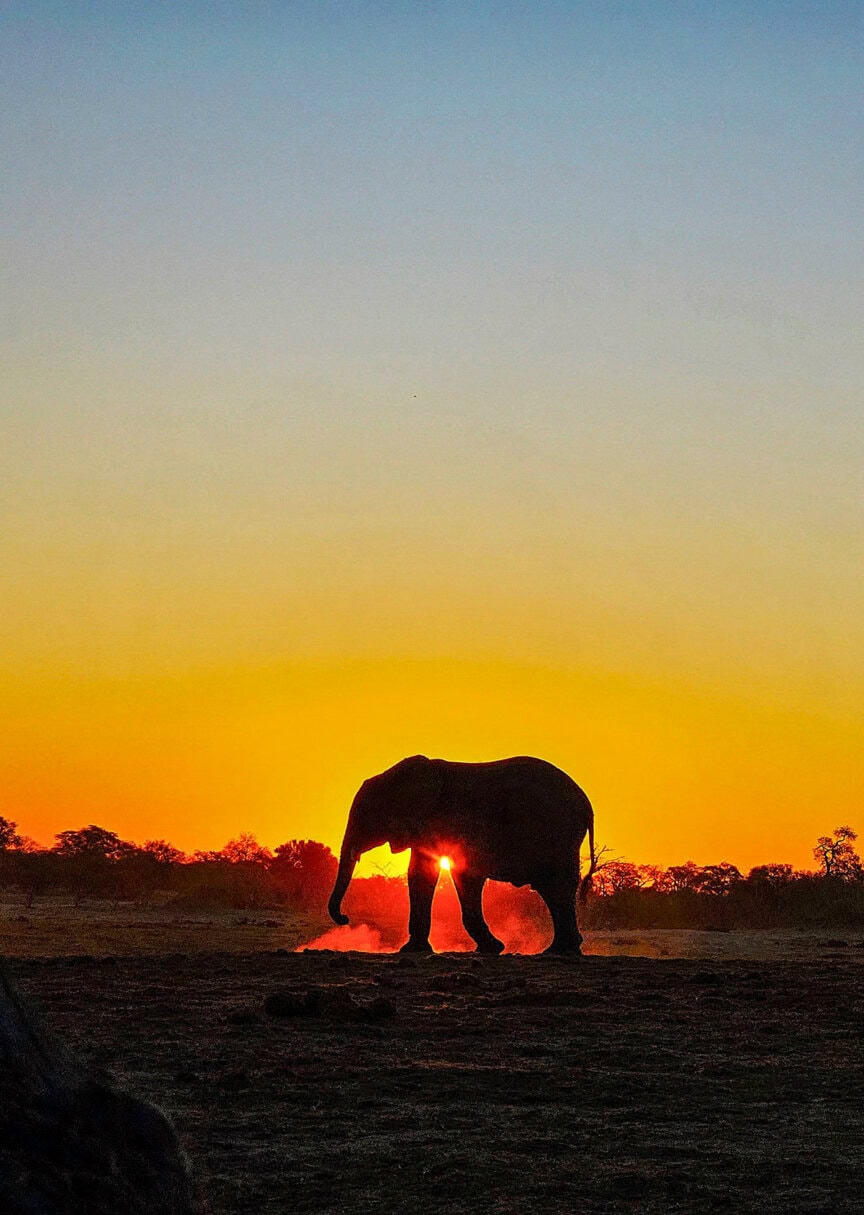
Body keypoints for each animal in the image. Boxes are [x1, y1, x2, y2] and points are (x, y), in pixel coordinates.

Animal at [328, 755, 596, 955]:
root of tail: (586, 803)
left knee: (557, 886)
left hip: (558, 831)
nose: (345, 918)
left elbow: (463, 873)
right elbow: (420, 874)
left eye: (365, 817)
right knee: (551, 888)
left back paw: (562, 951)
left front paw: (493, 948)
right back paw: (560, 950)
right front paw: (412, 950)